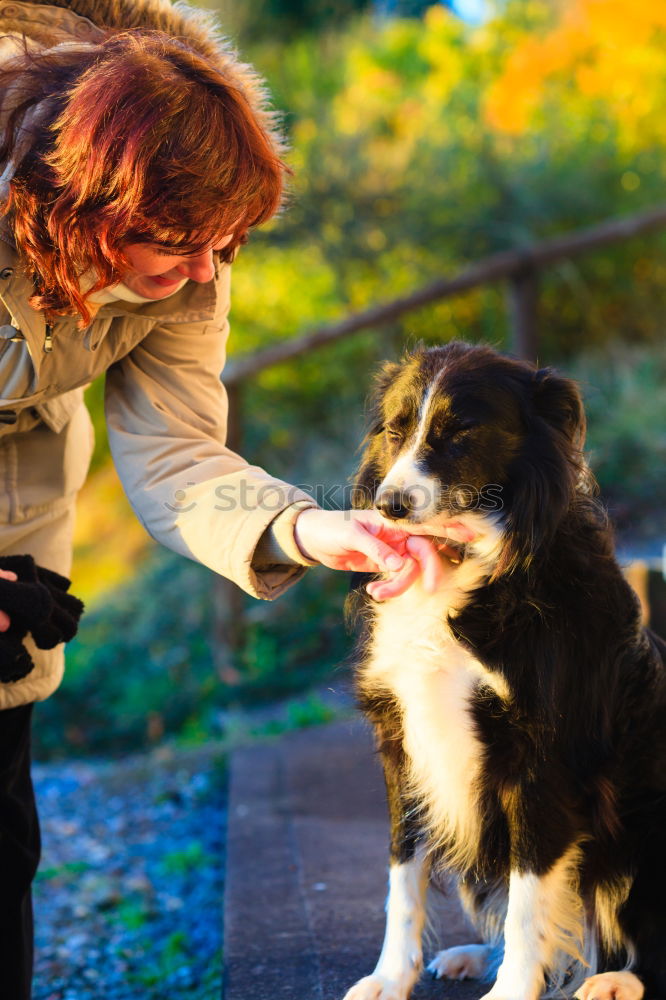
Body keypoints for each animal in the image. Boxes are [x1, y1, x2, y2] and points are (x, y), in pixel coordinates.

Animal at [342, 342, 664, 1000]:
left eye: (461, 432)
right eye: (394, 431)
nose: (390, 506)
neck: (464, 564)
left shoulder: (541, 755)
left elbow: (528, 895)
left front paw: (514, 988)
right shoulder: (403, 741)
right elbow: (402, 872)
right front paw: (390, 977)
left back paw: (615, 980)